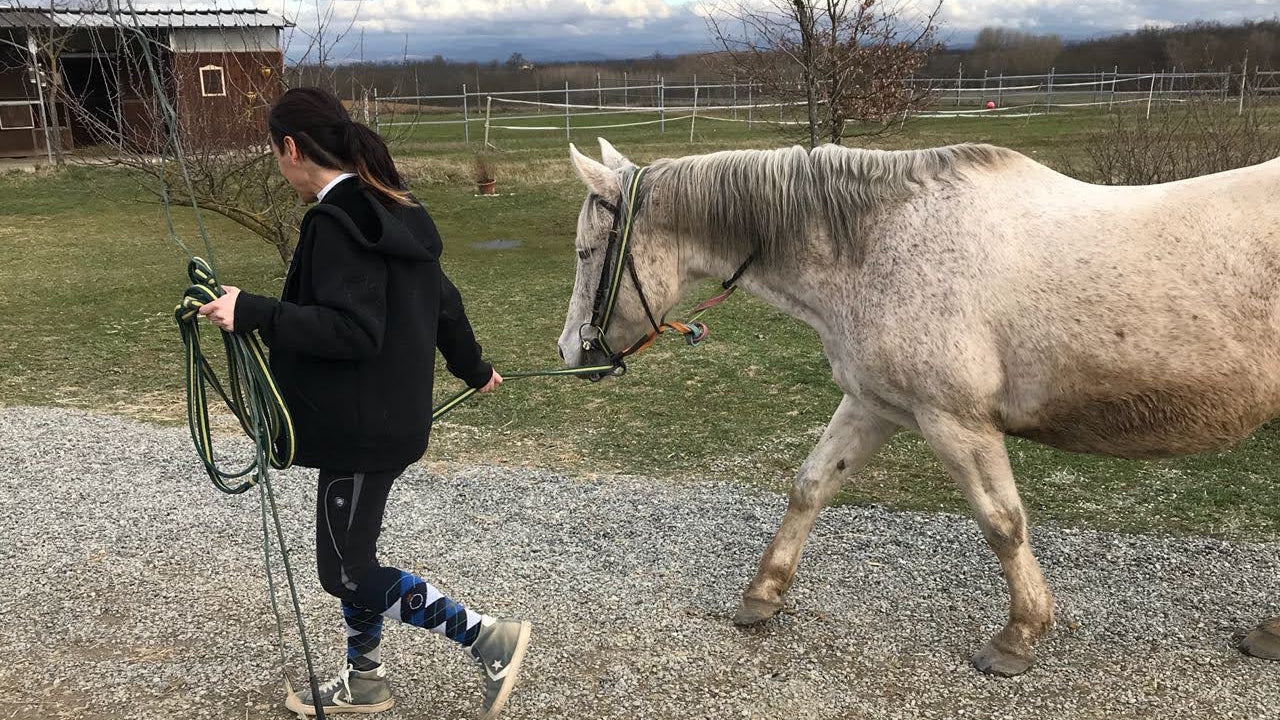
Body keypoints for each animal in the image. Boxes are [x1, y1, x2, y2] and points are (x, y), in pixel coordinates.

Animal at [556, 137, 1280, 676]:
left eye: (588, 252)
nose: (570, 352)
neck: (879, 244)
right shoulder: (872, 405)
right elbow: (810, 486)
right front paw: (763, 595)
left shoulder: (954, 421)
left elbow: (1002, 524)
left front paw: (1018, 637)